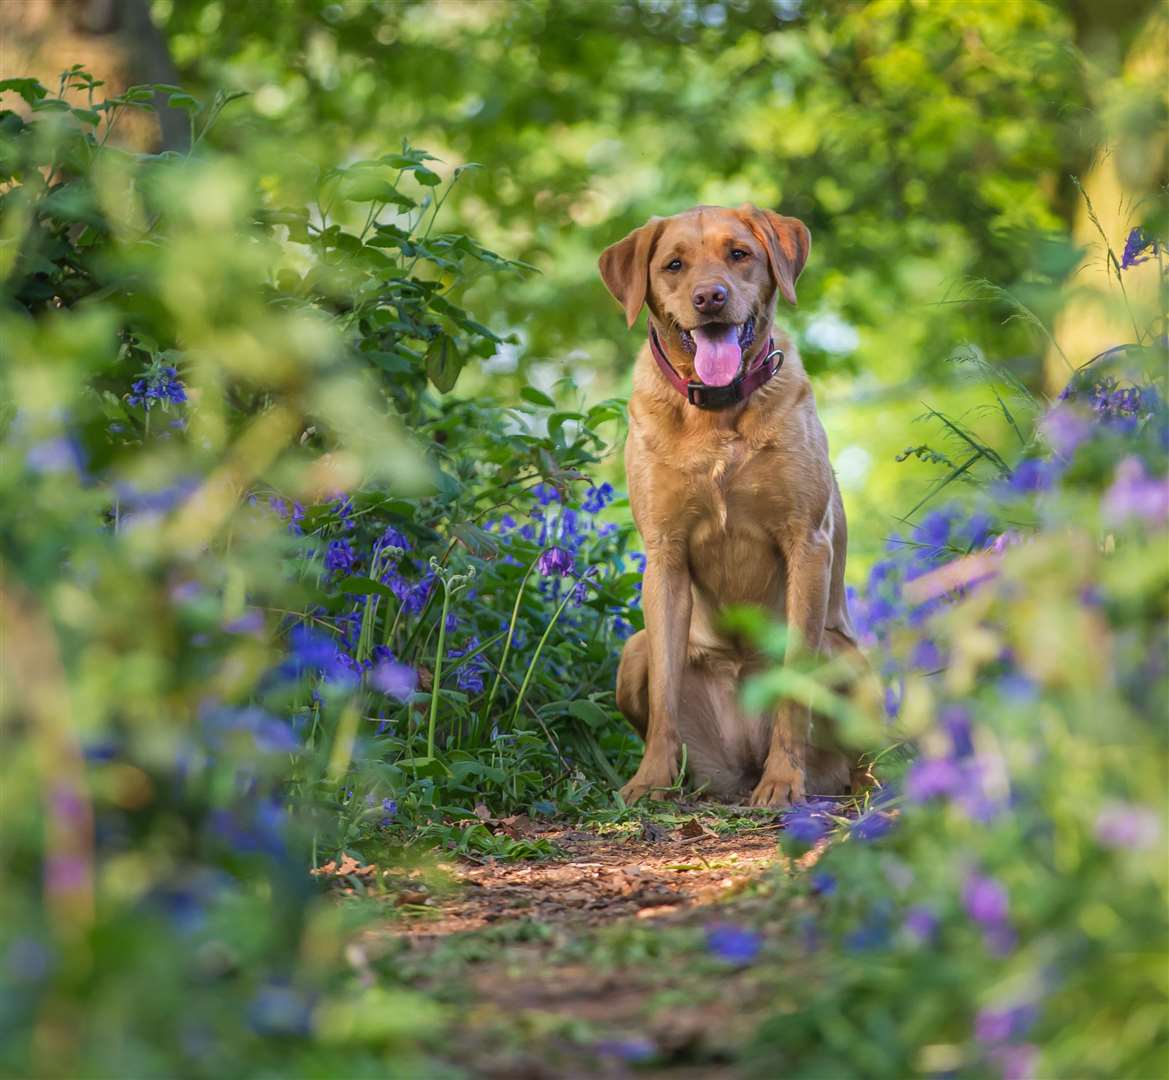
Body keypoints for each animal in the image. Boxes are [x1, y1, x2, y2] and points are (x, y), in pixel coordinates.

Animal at [598, 204, 865, 808]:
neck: (716, 413)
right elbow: (665, 696)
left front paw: (784, 782)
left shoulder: (807, 544)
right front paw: (649, 780)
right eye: (674, 265)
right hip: (632, 651)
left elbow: (794, 685)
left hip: (848, 659)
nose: (710, 298)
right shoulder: (665, 555)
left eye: (739, 254)